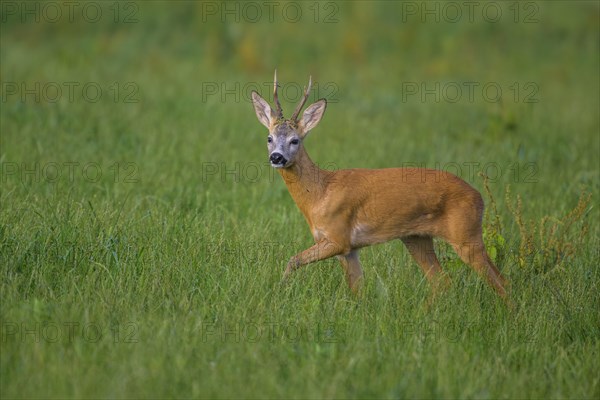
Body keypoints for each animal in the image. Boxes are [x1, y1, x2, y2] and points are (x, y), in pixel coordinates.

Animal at [251, 71, 508, 296]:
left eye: (295, 140)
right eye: (269, 138)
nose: (277, 157)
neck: (320, 193)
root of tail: (479, 196)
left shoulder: (338, 237)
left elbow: (293, 260)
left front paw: (281, 290)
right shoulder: (349, 249)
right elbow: (357, 289)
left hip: (466, 234)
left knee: (501, 282)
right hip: (416, 238)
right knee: (442, 282)